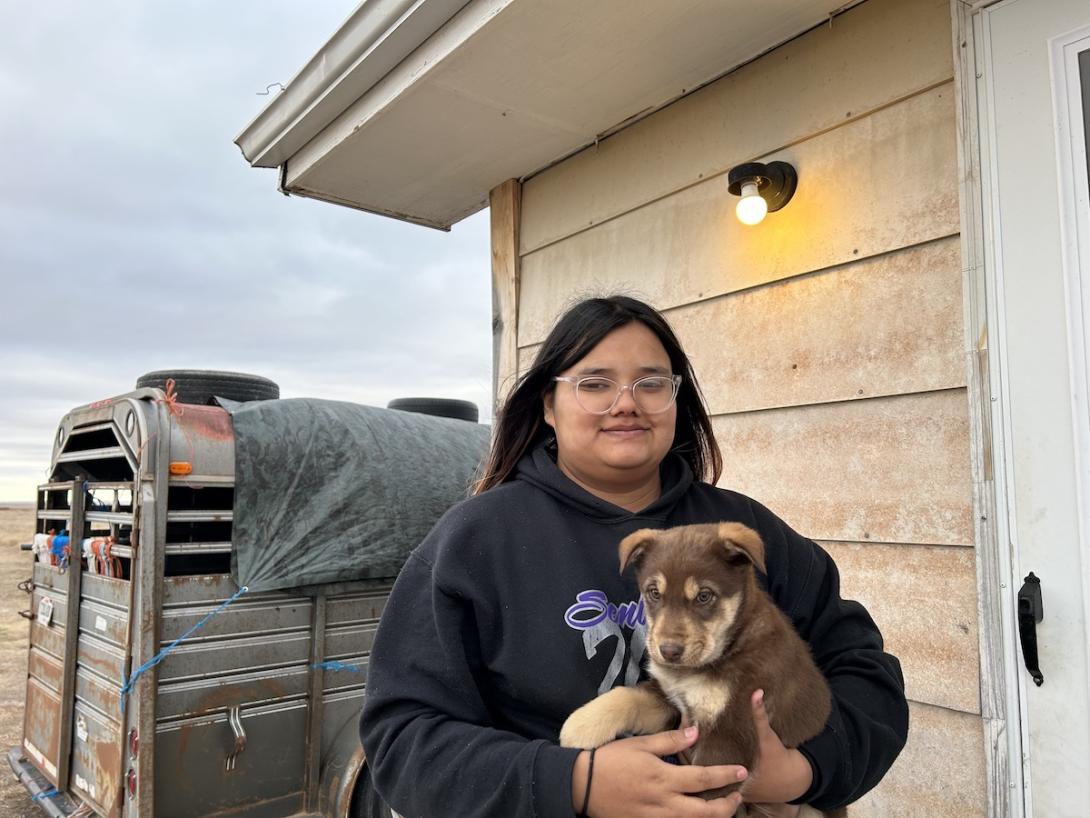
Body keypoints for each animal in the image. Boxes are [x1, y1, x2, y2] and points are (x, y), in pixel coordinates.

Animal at [558, 525, 845, 818]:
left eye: (704, 596)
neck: (730, 645)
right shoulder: (672, 702)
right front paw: (580, 726)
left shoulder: (730, 733)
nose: (669, 651)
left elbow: (702, 801)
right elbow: (627, 696)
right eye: (654, 593)